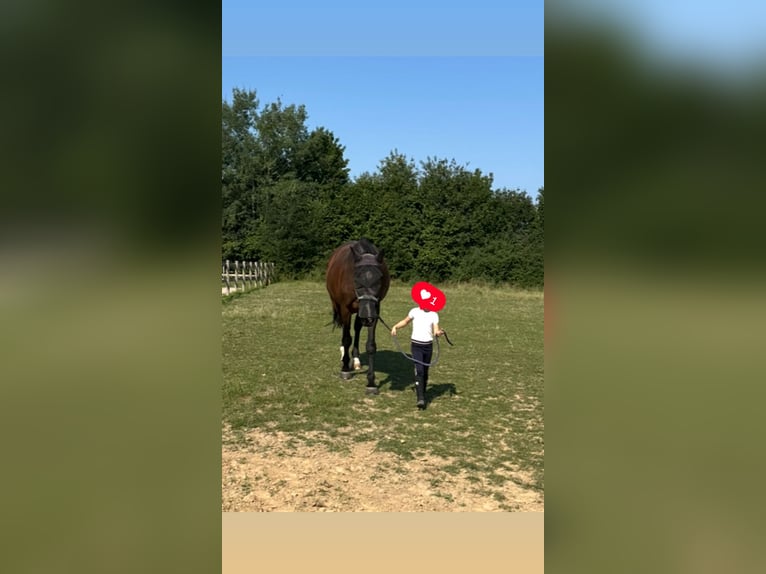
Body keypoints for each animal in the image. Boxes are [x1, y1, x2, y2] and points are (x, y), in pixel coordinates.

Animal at [325, 238, 390, 394]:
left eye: (380, 278)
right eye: (356, 277)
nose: (367, 317)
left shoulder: (374, 309)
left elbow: (371, 345)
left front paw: (371, 382)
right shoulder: (345, 309)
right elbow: (346, 338)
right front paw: (344, 369)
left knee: (357, 328)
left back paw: (355, 360)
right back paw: (344, 355)